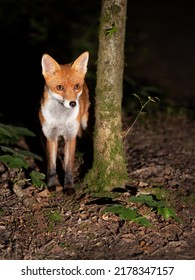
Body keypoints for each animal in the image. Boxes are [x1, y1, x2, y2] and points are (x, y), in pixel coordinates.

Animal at [38, 51, 90, 191]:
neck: (61, 119)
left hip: (84, 123)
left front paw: (68, 187)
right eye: (59, 87)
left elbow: (69, 167)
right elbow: (51, 167)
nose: (73, 103)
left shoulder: (70, 136)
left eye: (76, 86)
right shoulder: (50, 136)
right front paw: (51, 186)